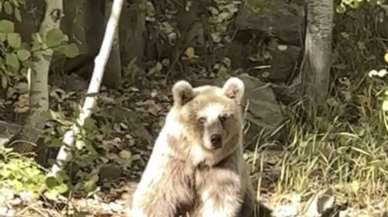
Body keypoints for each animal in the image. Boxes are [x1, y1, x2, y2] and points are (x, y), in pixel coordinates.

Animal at [130, 77, 270, 216]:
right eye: (202, 119)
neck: (200, 157)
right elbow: (156, 197)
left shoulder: (224, 166)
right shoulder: (174, 161)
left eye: (223, 117)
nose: (215, 138)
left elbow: (220, 202)